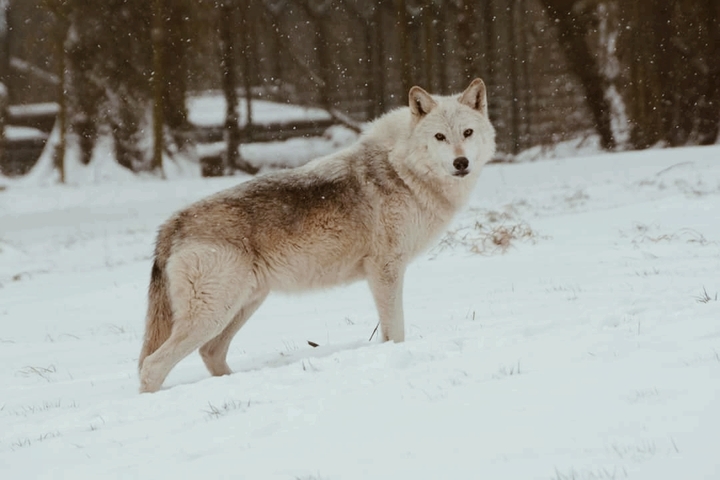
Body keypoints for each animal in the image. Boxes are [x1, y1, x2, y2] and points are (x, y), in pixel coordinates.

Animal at [138, 78, 496, 393]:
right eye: (439, 137)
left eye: (467, 133)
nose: (461, 162)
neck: (402, 170)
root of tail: (170, 226)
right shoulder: (385, 270)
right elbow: (396, 332)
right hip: (213, 314)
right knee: (151, 366)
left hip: (242, 306)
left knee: (209, 353)